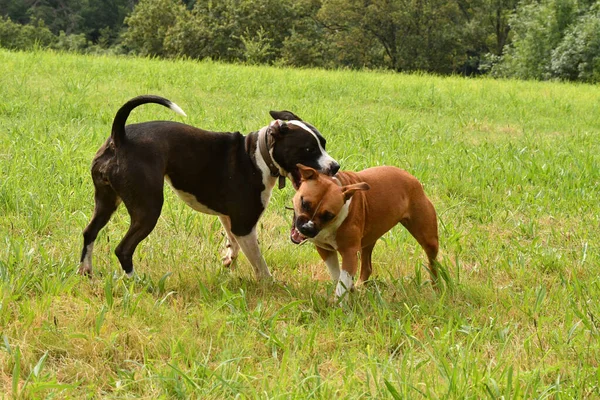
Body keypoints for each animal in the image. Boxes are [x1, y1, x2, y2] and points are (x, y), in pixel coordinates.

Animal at [80, 95, 340, 280]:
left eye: (324, 143)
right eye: (308, 149)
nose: (335, 166)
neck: (258, 155)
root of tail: (120, 136)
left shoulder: (229, 218)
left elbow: (233, 243)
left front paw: (229, 260)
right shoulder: (245, 224)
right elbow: (258, 262)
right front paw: (270, 285)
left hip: (105, 201)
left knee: (89, 233)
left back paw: (85, 271)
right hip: (148, 209)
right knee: (123, 249)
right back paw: (137, 282)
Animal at [292, 163, 440, 296]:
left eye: (328, 215)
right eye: (304, 203)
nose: (307, 228)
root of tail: (411, 177)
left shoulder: (349, 252)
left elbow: (342, 282)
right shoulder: (325, 250)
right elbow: (337, 275)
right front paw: (349, 291)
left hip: (428, 239)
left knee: (433, 263)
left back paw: (436, 287)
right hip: (368, 240)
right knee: (367, 266)